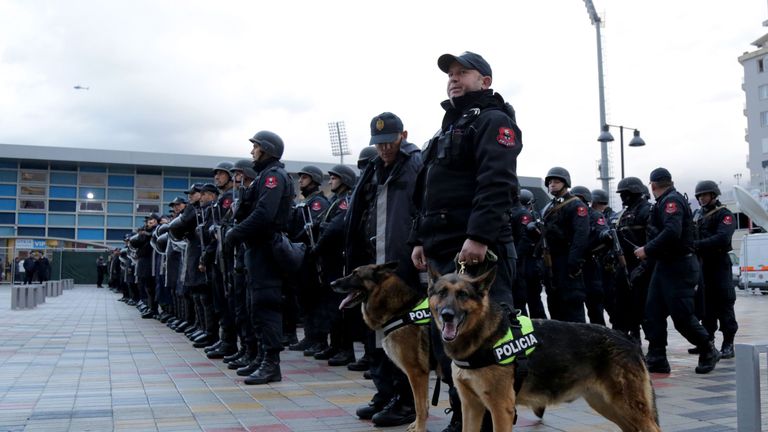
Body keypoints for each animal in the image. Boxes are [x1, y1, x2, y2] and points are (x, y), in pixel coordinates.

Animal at [330, 262, 436, 432]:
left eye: (355, 274)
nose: (332, 283)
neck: (400, 310)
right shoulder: (420, 374)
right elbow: (423, 404)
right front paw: (416, 424)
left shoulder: (416, 373)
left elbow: (419, 405)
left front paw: (419, 428)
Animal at [428, 268, 664, 430]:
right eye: (442, 293)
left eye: (463, 295)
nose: (447, 315)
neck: (483, 336)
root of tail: (627, 338)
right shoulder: (471, 407)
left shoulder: (501, 408)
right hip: (609, 406)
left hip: (627, 407)